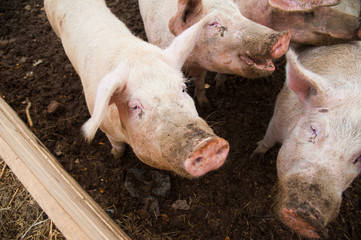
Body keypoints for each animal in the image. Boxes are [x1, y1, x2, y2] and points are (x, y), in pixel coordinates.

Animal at [44, 0, 228, 178]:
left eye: (183, 89)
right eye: (135, 106)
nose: (207, 145)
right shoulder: (107, 129)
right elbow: (117, 146)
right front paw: (115, 156)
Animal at [138, 0, 290, 105]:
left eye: (239, 13)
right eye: (212, 23)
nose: (284, 36)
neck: (191, 63)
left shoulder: (201, 68)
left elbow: (200, 83)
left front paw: (205, 103)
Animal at [252, 42, 360, 239]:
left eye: (358, 158)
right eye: (314, 129)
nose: (308, 216)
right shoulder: (278, 116)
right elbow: (268, 140)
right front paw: (255, 156)